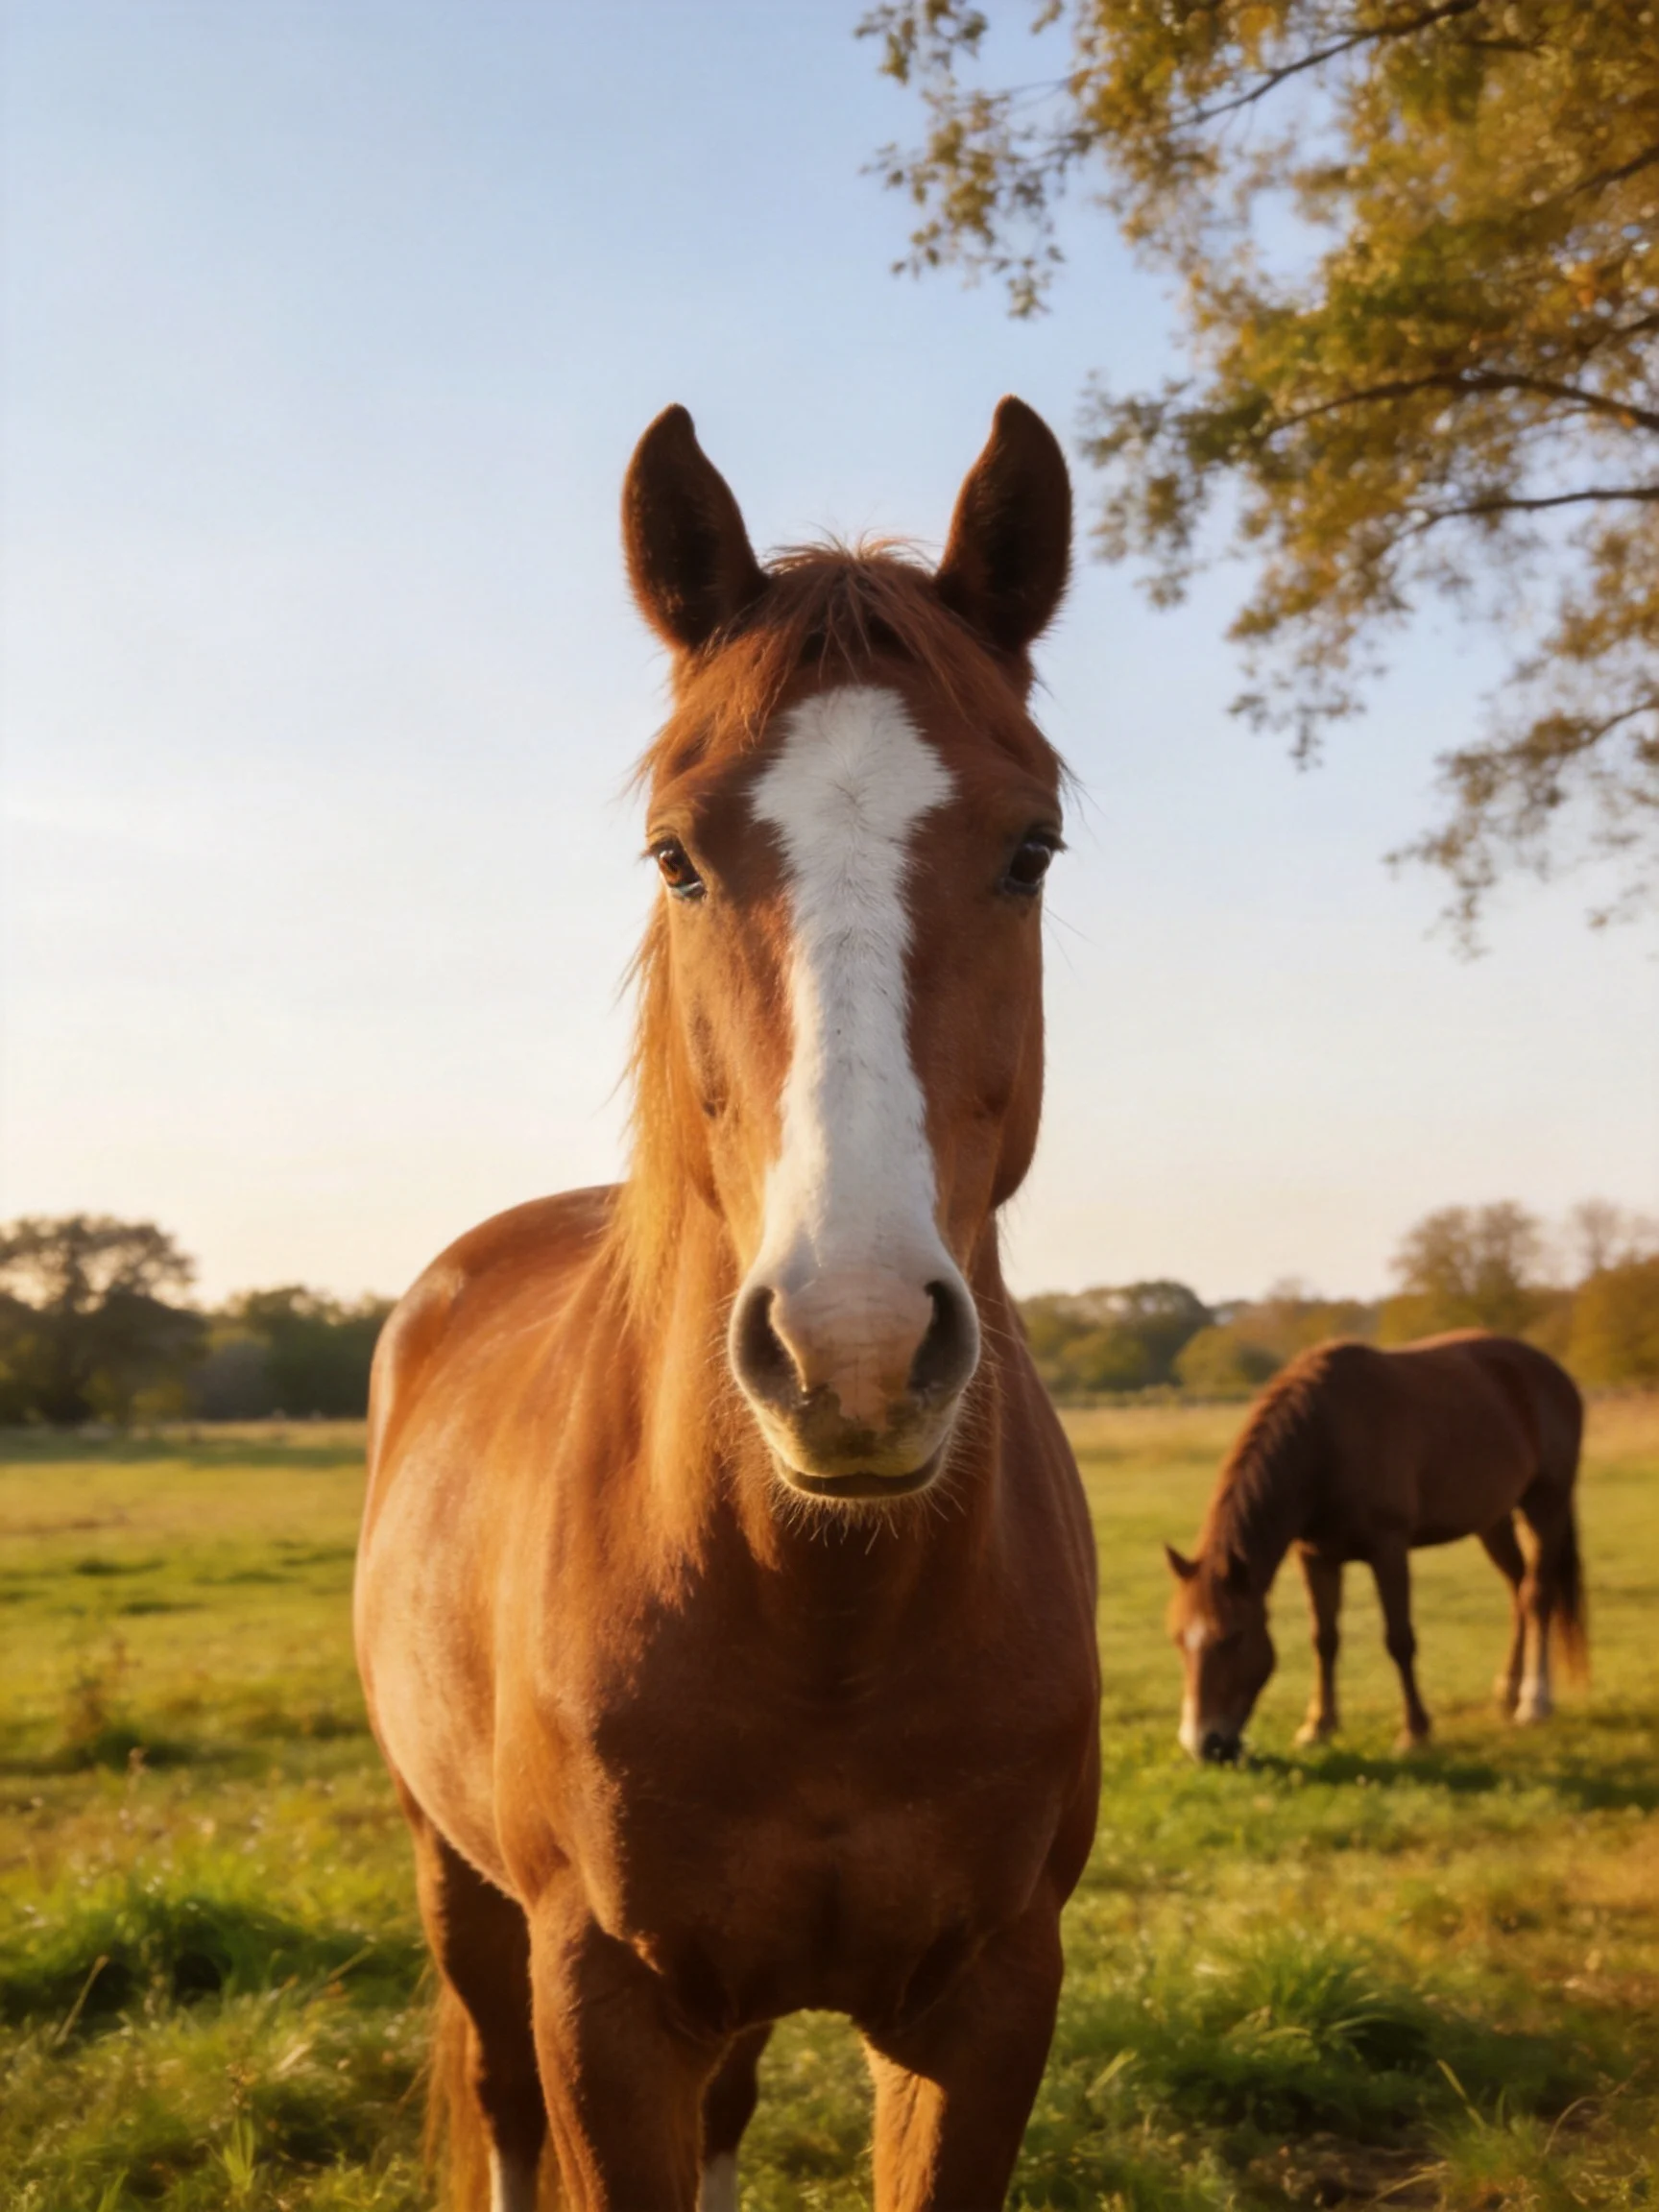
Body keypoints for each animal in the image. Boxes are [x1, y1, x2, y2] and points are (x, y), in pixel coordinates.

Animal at [353, 398, 1102, 2212]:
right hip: (456, 1880)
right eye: (675, 855)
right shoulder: (602, 2004)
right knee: (497, 2092)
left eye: (1030, 847)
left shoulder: (989, 2006)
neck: (820, 1615)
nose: (855, 1350)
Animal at [1163, 1331, 1585, 1763]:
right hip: (1493, 1520)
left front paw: (1415, 1731)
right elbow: (1325, 1639)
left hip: (1546, 1504)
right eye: (1177, 1639)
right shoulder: (1315, 1557)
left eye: (1234, 1638)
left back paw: (1534, 1701)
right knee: (1518, 1588)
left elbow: (1399, 1639)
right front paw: (1319, 1726)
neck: (1326, 1439)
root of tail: (1553, 1373)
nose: (1204, 1744)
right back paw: (1508, 1689)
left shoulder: (1389, 1550)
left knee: (1537, 1595)